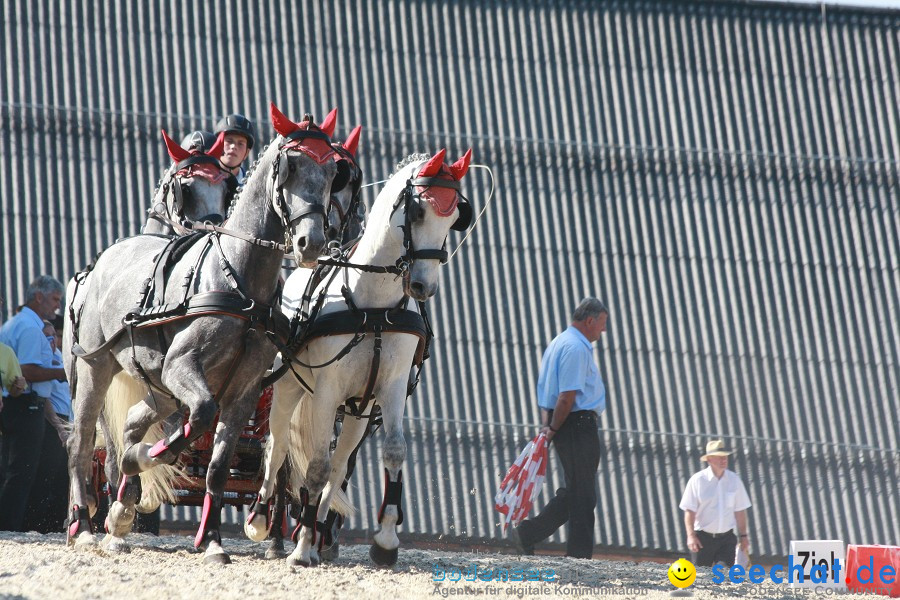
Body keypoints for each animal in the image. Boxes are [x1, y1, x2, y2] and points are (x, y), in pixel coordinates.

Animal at [63, 103, 338, 564]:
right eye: (292, 166)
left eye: (334, 170)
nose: (311, 242)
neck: (239, 282)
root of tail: (107, 256)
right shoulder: (183, 368)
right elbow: (199, 417)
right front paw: (145, 461)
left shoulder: (243, 392)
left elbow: (216, 466)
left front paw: (211, 541)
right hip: (96, 369)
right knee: (83, 442)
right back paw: (84, 525)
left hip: (156, 384)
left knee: (132, 424)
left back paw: (120, 511)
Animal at [243, 148, 474, 564]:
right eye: (418, 212)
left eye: (453, 218)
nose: (423, 286)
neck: (374, 306)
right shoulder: (326, 391)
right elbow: (315, 467)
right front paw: (301, 547)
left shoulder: (391, 389)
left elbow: (392, 453)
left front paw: (385, 540)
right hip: (289, 389)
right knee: (279, 447)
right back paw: (264, 522)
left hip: (358, 412)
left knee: (339, 466)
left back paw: (318, 529)